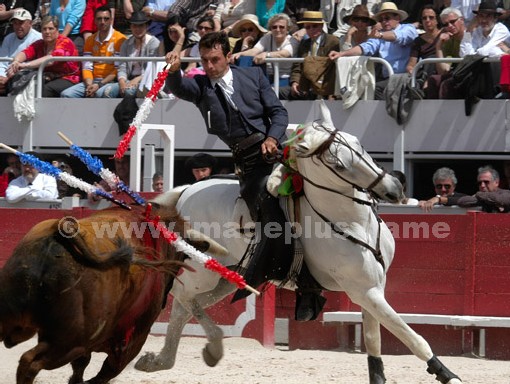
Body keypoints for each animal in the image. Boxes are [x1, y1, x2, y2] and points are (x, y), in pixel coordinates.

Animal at [0, 202, 225, 382]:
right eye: (182, 257)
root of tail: (61, 232)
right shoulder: (132, 341)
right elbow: (103, 373)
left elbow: (80, 369)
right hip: (69, 342)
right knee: (30, 362)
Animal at [137, 106, 464, 384]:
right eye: (337, 164)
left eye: (359, 144)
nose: (395, 188)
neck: (351, 221)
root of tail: (187, 191)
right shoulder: (363, 290)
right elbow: (412, 337)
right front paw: (449, 375)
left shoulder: (373, 287)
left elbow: (374, 340)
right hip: (202, 272)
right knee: (182, 298)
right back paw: (203, 348)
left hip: (230, 277)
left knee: (184, 306)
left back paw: (160, 360)